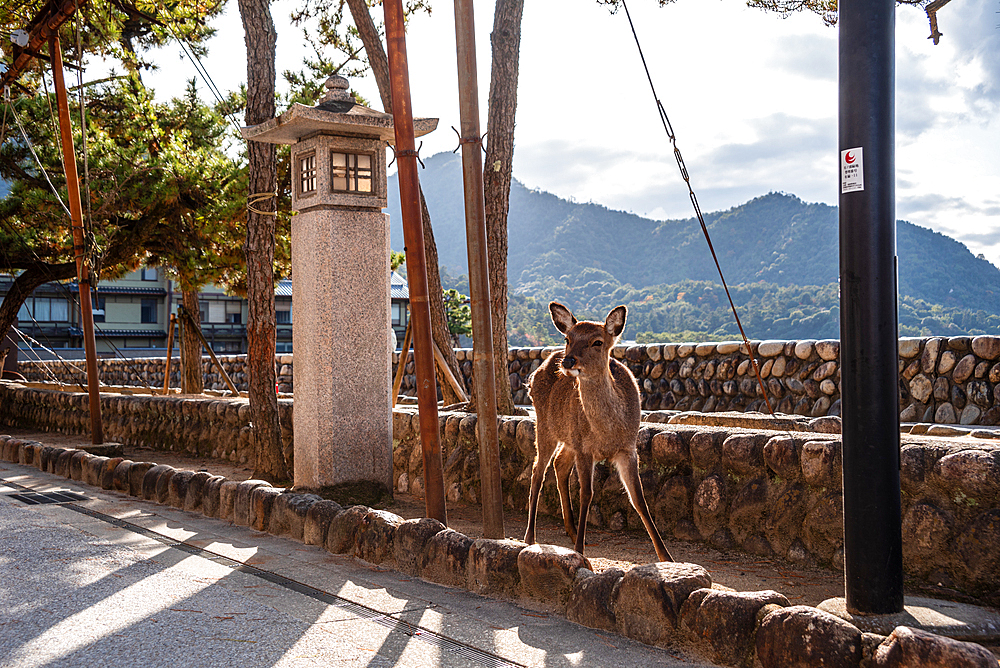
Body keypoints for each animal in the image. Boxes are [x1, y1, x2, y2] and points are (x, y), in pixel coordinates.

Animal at [520, 302, 676, 564]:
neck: (607, 432)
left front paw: (667, 558)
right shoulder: (585, 449)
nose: (568, 362)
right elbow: (587, 494)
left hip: (568, 437)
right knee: (537, 471)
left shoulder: (628, 448)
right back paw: (530, 537)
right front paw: (580, 553)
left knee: (559, 464)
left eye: (597, 342)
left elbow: (639, 499)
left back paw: (572, 531)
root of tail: (535, 373)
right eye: (568, 338)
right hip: (545, 426)